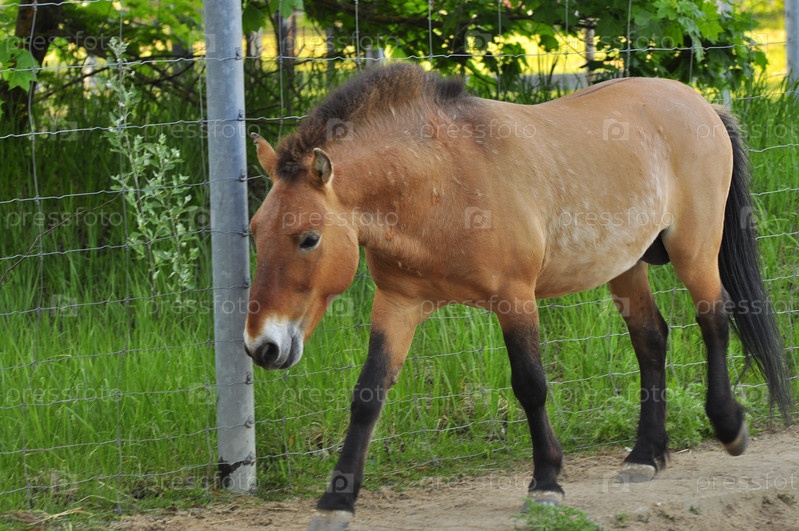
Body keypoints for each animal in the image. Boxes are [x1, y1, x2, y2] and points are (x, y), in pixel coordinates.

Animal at [244, 63, 792, 530]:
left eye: (308, 238)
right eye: (254, 231)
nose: (261, 347)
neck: (441, 181)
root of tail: (701, 104)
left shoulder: (515, 298)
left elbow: (530, 384)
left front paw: (546, 482)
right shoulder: (398, 304)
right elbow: (367, 396)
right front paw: (336, 500)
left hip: (694, 249)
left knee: (714, 321)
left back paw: (728, 426)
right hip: (626, 265)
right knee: (652, 340)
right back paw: (645, 456)